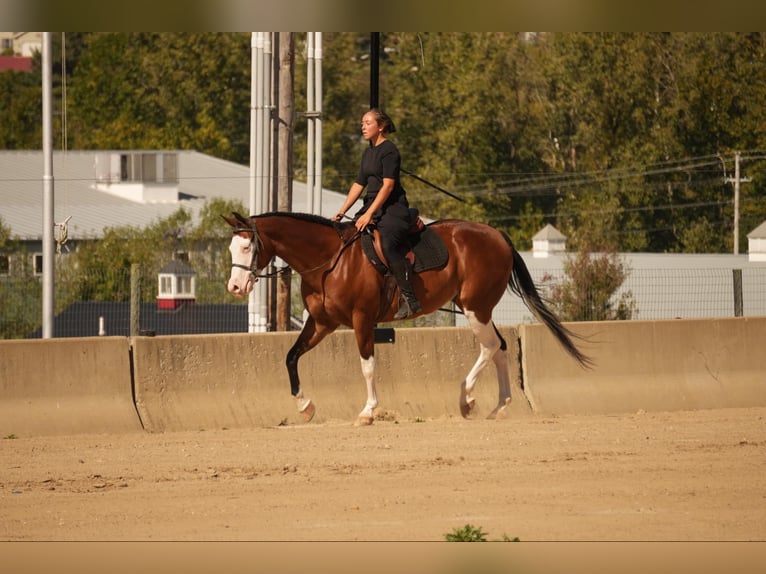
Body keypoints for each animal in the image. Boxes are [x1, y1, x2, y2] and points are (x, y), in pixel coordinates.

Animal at [225, 213, 592, 428]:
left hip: (475, 307)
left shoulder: (361, 319)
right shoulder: (322, 323)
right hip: (478, 309)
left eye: (247, 248)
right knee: (500, 348)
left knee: (490, 347)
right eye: (230, 248)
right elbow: (291, 356)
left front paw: (368, 411)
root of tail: (498, 235)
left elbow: (367, 366)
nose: (235, 287)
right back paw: (499, 406)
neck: (330, 260)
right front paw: (306, 406)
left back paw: (467, 398)